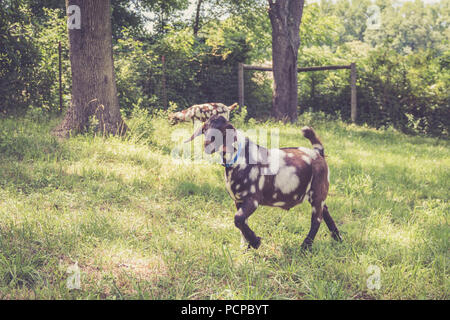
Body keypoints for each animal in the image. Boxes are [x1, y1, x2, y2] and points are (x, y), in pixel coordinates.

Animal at [185, 115, 342, 250]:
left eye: (223, 129)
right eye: (205, 128)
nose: (207, 143)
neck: (239, 158)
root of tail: (318, 152)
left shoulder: (252, 199)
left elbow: (238, 219)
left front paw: (255, 242)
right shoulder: (238, 201)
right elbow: (242, 222)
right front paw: (246, 247)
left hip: (317, 192)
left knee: (316, 219)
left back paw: (305, 246)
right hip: (317, 194)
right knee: (325, 211)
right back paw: (337, 238)